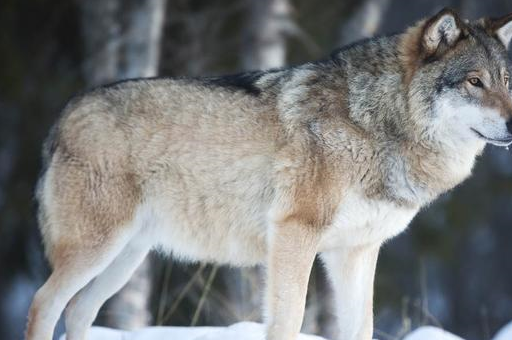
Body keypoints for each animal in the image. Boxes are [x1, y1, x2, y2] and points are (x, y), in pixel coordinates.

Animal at [27, 7, 512, 340]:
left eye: (508, 81)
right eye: (474, 82)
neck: (375, 123)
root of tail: (64, 114)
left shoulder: (355, 252)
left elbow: (362, 327)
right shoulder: (295, 234)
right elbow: (287, 321)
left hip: (125, 259)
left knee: (78, 311)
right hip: (97, 249)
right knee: (43, 304)